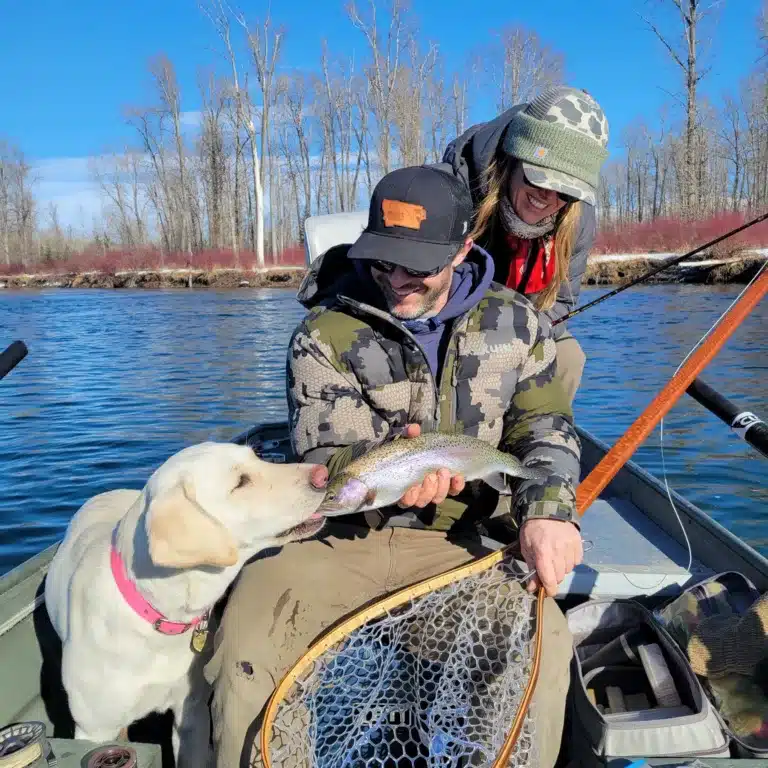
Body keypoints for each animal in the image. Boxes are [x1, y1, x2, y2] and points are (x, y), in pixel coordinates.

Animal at [45, 440, 328, 764]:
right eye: (241, 482)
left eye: (257, 458)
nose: (323, 473)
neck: (158, 616)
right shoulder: (94, 729)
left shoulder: (191, 713)